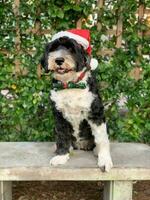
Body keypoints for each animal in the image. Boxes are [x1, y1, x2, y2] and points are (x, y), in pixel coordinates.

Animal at [40, 29, 112, 172]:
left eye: (71, 49)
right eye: (53, 49)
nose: (59, 60)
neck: (70, 85)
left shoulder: (96, 113)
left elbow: (101, 138)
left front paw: (105, 160)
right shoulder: (59, 115)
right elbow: (62, 136)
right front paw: (61, 156)